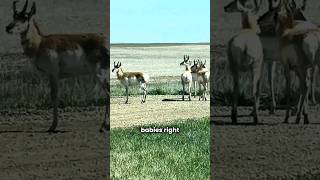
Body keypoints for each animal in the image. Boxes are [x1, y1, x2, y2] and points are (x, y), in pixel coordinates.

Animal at [5, 0, 109, 132]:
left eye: (25, 17)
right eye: (14, 16)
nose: (8, 27)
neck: (40, 43)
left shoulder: (53, 74)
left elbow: (54, 96)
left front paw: (52, 126)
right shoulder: (54, 76)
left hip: (99, 73)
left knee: (108, 93)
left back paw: (104, 126)